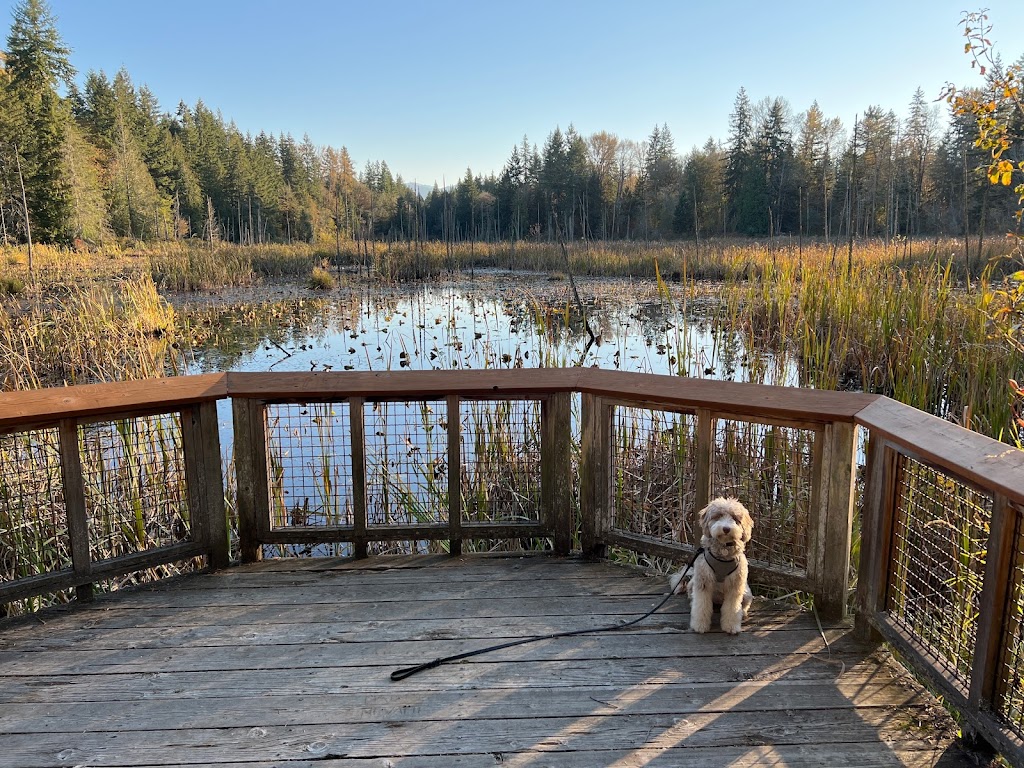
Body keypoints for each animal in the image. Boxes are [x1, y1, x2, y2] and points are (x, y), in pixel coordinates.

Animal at [671, 499, 753, 638]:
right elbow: (701, 605)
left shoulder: (735, 584)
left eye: (735, 518)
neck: (723, 551)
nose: (726, 528)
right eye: (718, 516)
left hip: (746, 593)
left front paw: (731, 626)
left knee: (743, 605)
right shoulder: (703, 581)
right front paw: (700, 626)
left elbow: (732, 607)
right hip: (693, 584)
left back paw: (742, 613)